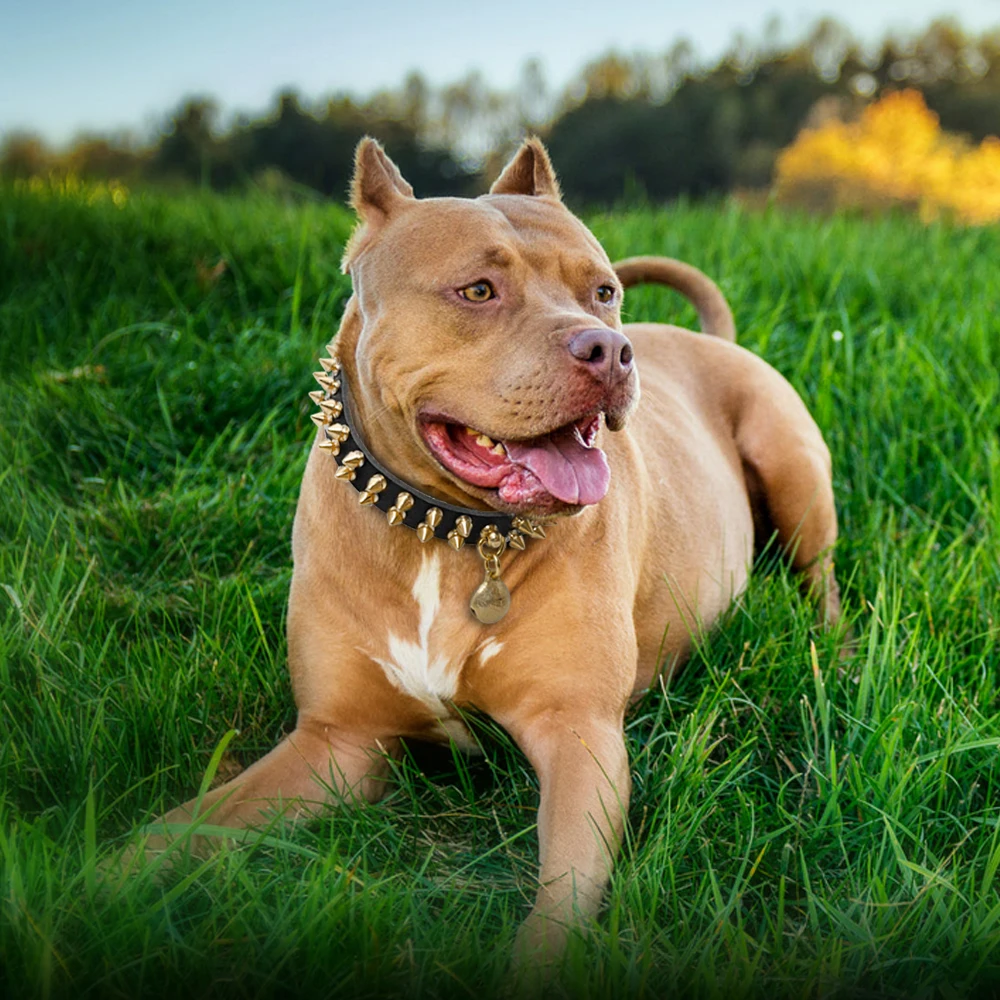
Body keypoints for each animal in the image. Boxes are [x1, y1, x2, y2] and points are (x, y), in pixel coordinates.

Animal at [143, 137, 844, 964]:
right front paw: (90, 880)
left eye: (603, 290)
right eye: (477, 290)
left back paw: (833, 651)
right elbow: (180, 828)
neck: (446, 533)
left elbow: (559, 905)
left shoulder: (579, 735)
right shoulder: (337, 744)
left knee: (820, 575)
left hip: (791, 462)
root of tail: (708, 338)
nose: (612, 350)